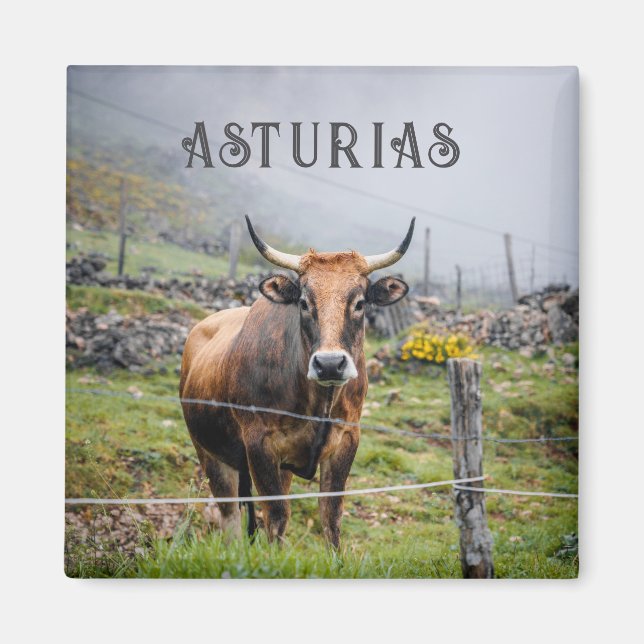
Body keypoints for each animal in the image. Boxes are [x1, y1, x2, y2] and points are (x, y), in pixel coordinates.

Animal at [180, 216, 415, 547]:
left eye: (359, 303)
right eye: (303, 302)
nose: (330, 364)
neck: (316, 403)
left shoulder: (346, 439)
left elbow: (330, 516)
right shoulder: (259, 444)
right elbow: (276, 516)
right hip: (209, 451)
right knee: (230, 516)